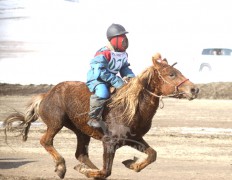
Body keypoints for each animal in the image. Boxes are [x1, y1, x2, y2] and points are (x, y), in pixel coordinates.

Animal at [3, 53, 199, 179]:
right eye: (171, 74)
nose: (194, 89)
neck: (130, 108)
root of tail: (46, 95)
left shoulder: (134, 139)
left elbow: (152, 154)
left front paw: (132, 164)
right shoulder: (109, 142)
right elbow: (106, 171)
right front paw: (84, 171)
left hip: (81, 131)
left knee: (81, 154)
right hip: (55, 123)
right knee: (46, 141)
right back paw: (61, 167)